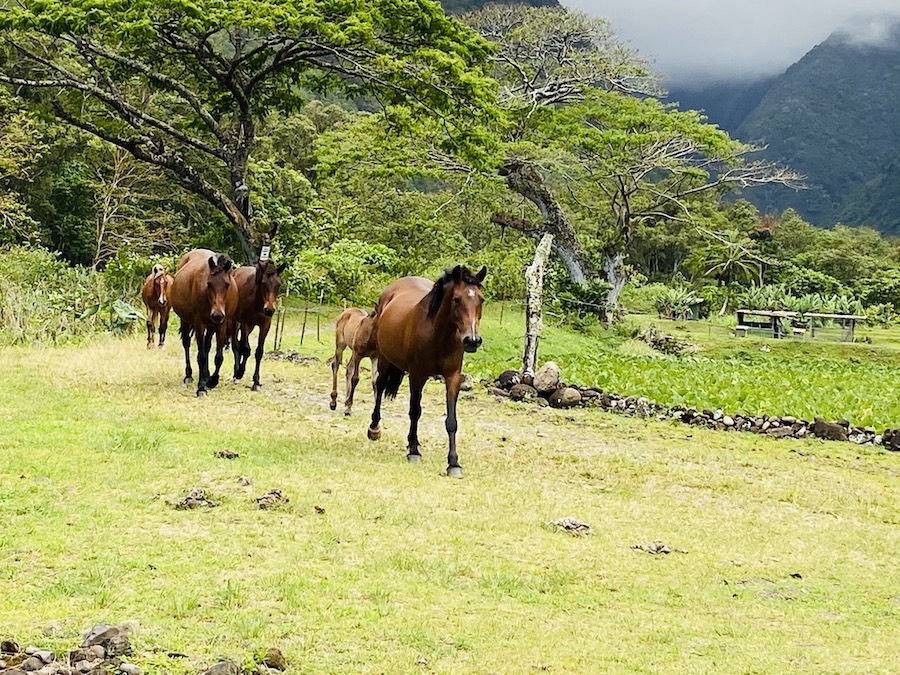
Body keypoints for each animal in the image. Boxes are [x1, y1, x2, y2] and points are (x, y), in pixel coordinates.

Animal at [170, 249, 238, 397]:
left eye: (227, 284)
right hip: (186, 321)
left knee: (206, 347)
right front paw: (201, 387)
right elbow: (201, 356)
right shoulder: (199, 324)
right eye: (209, 283)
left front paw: (212, 380)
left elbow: (218, 356)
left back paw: (206, 375)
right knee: (187, 344)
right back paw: (189, 375)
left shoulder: (221, 324)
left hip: (211, 326)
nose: (217, 315)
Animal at [230, 259, 286, 391]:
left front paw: (256, 381)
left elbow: (259, 352)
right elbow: (246, 349)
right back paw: (236, 373)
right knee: (236, 345)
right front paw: (239, 373)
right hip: (234, 322)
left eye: (279, 284)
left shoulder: (265, 325)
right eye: (264, 283)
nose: (269, 310)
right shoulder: (245, 323)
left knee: (240, 344)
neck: (257, 301)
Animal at [367, 265, 487, 478]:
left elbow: (451, 421)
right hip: (384, 358)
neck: (437, 335)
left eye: (481, 299)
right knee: (379, 386)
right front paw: (414, 451)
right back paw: (374, 428)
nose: (472, 340)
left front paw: (453, 463)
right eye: (456, 299)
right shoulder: (417, 375)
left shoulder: (453, 378)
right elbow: (415, 411)